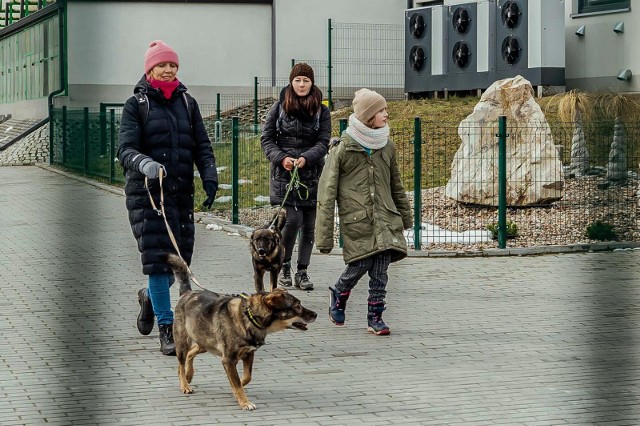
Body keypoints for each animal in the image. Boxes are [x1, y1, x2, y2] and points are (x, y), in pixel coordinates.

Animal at [164, 253, 316, 410]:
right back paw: (185, 384)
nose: (315, 314)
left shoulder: (249, 354)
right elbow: (237, 383)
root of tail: (187, 293)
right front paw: (244, 402)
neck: (249, 316)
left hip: (205, 341)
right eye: (297, 306)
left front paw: (235, 392)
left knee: (191, 352)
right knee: (181, 364)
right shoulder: (228, 359)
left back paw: (189, 375)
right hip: (183, 341)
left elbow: (246, 377)